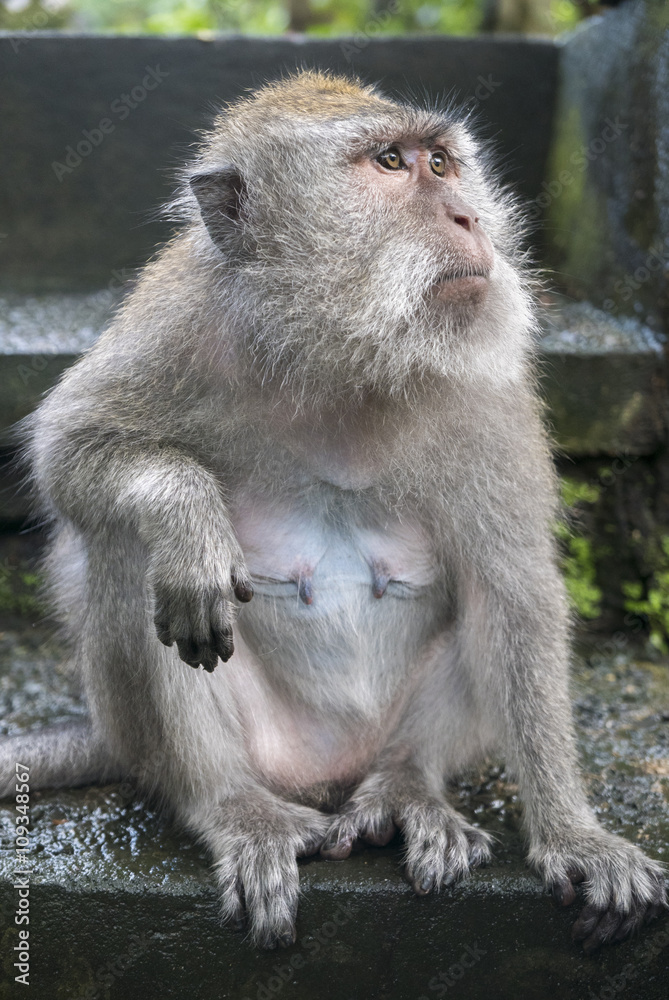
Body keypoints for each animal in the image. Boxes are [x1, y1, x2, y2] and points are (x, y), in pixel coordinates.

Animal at [0, 70, 665, 952]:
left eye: (442, 163)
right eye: (389, 163)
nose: (468, 217)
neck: (344, 353)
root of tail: (326, 772)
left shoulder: (485, 387)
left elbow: (513, 586)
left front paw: (571, 834)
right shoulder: (179, 320)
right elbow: (70, 451)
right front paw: (187, 518)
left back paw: (408, 786)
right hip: (231, 742)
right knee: (128, 551)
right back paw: (231, 803)